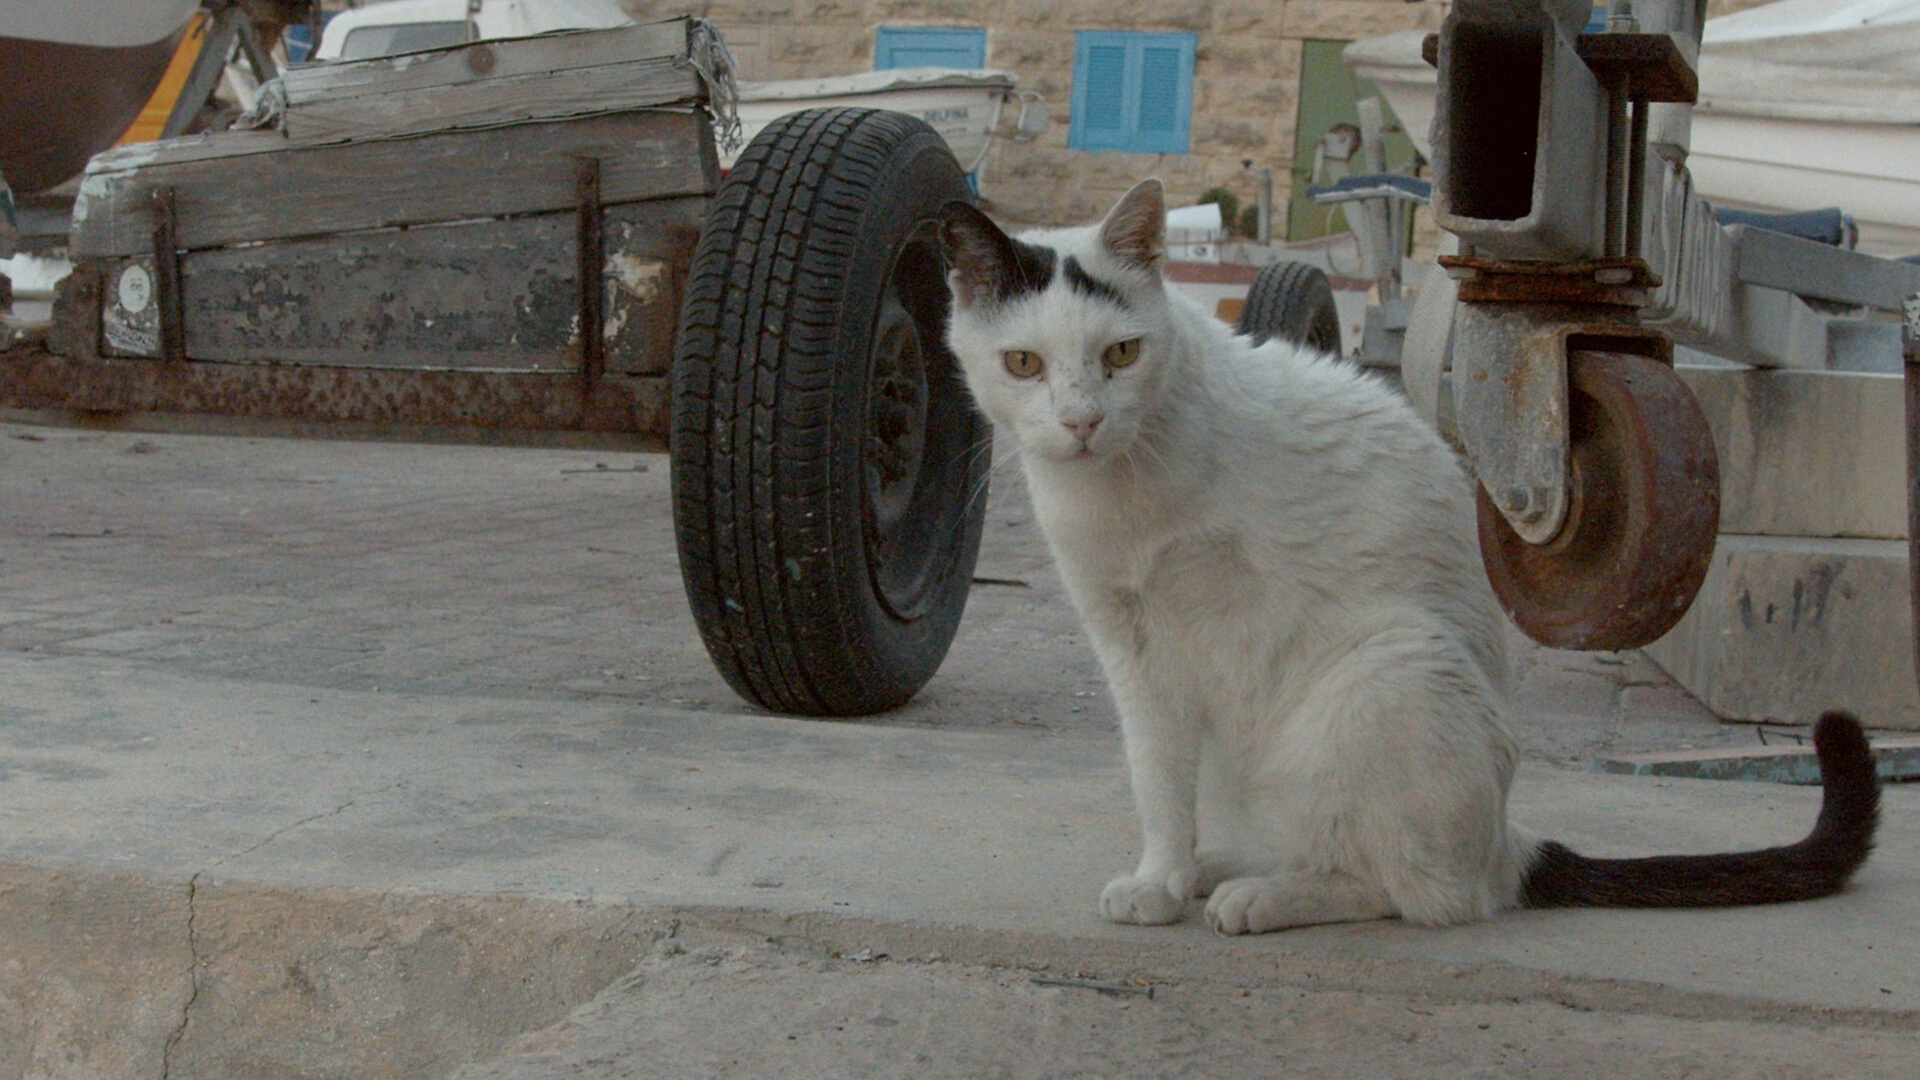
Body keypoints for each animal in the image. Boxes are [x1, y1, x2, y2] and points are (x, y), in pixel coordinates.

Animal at [936, 180, 1881, 930]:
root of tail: (1504, 841)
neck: (1115, 494)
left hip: (1385, 674)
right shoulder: (1128, 644)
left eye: (1121, 353)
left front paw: (1164, 884)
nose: (1082, 422)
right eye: (1023, 364)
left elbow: (1169, 773)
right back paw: (1227, 866)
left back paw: (1265, 897)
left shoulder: (1203, 629)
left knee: (1416, 889)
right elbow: (1156, 773)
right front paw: (1165, 875)